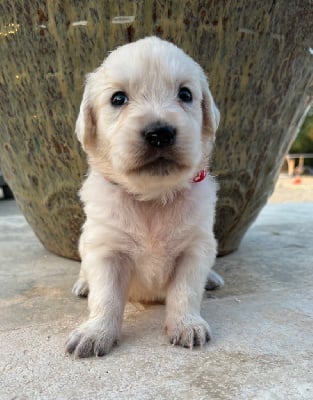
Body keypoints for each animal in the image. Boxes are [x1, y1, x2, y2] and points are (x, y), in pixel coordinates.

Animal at [66, 36, 221, 358]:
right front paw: (96, 332)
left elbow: (186, 291)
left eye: (185, 94)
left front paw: (187, 324)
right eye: (118, 99)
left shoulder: (196, 247)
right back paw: (83, 283)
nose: (159, 133)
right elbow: (106, 297)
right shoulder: (106, 250)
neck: (152, 199)